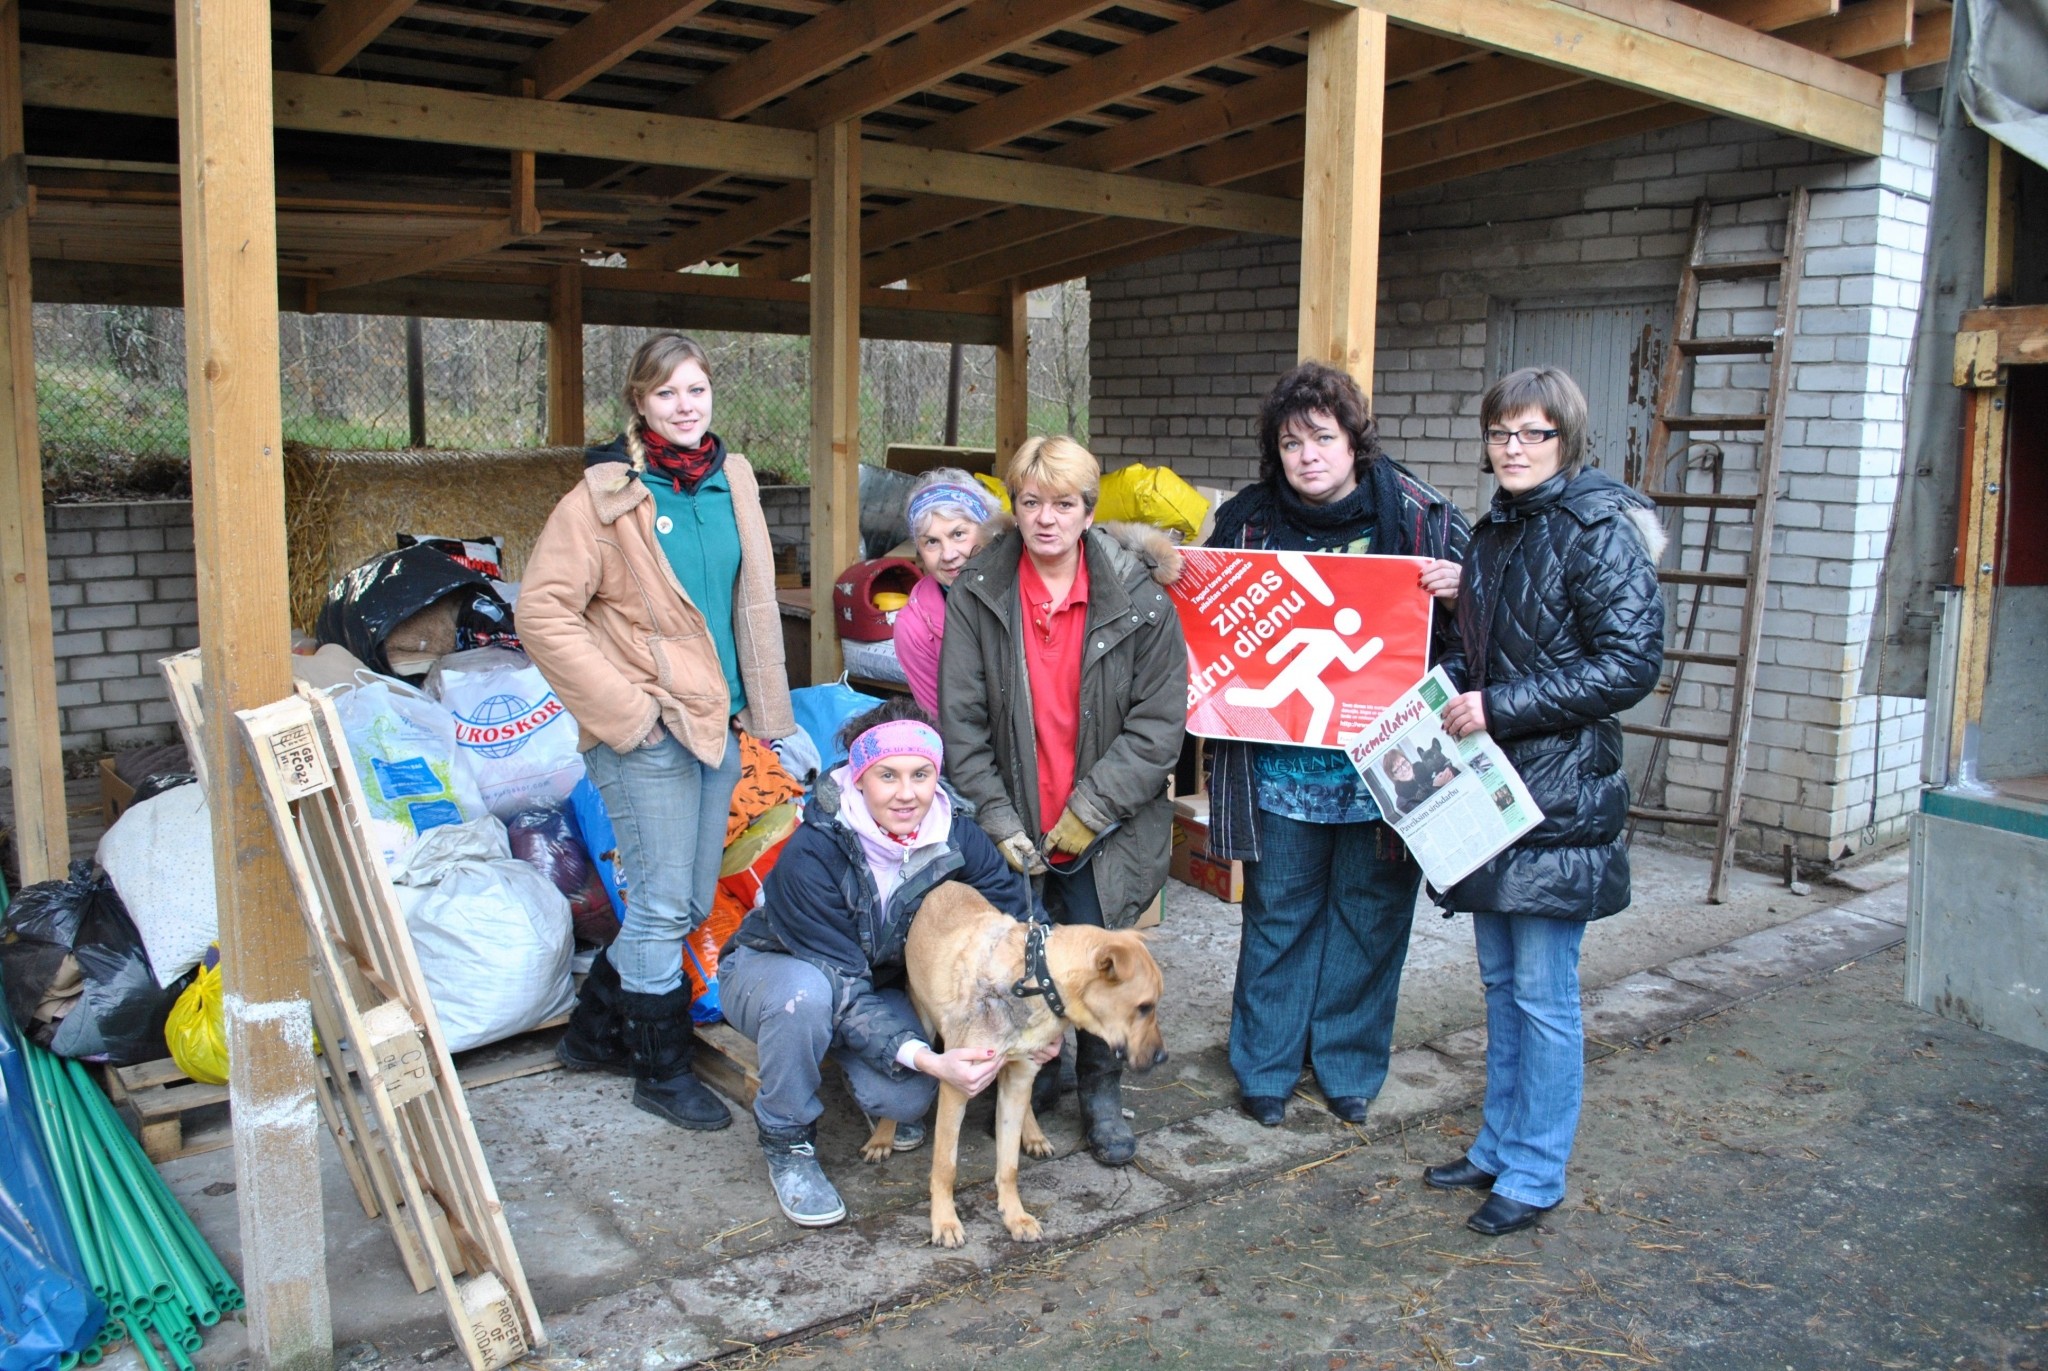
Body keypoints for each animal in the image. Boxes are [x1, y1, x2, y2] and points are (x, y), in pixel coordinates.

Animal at [860, 881, 1171, 1245]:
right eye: (1144, 1007)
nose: (1163, 1057)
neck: (1038, 980)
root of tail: (946, 884)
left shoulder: (1020, 1077)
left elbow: (1009, 1166)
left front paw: (1014, 1216)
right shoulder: (956, 1084)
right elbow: (946, 1167)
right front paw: (945, 1222)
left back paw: (1033, 1133)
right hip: (922, 1018)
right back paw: (883, 1136)